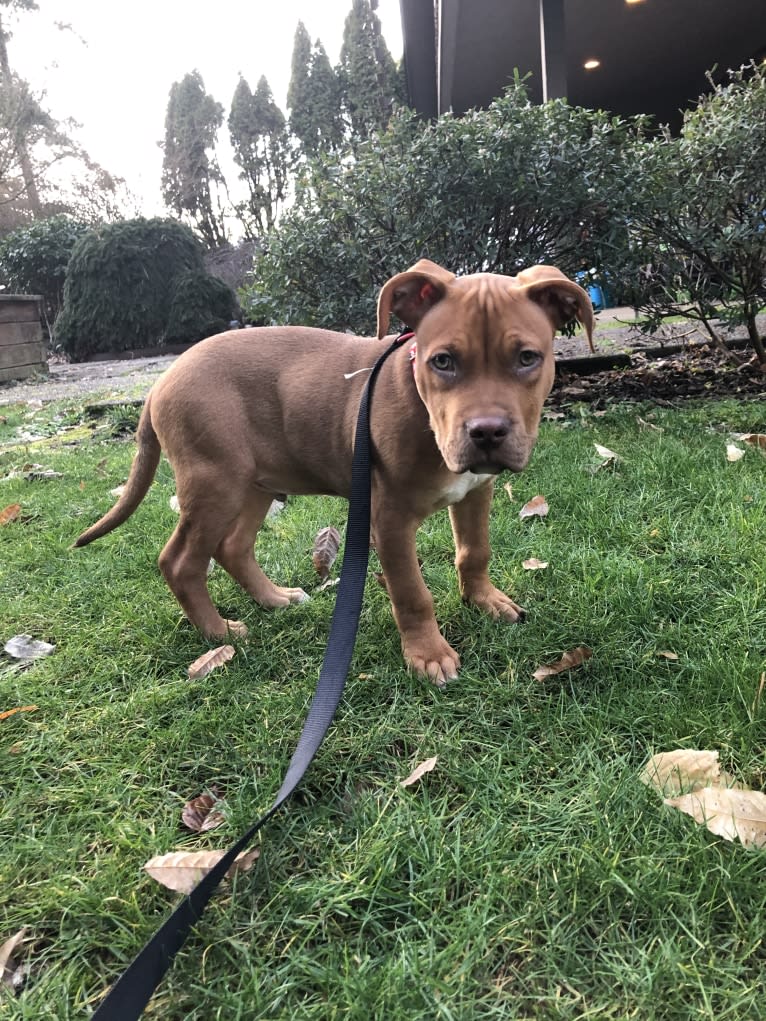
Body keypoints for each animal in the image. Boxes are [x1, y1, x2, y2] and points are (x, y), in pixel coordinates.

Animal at [75, 259, 592, 686]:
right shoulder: (388, 521)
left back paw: (276, 599)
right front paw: (428, 655)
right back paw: (221, 632)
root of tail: (161, 381)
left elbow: (474, 552)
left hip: (257, 483)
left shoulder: (476, 491)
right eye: (443, 361)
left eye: (527, 358)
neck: (420, 406)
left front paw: (486, 600)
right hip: (214, 483)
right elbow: (412, 593)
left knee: (234, 547)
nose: (486, 433)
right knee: (180, 562)